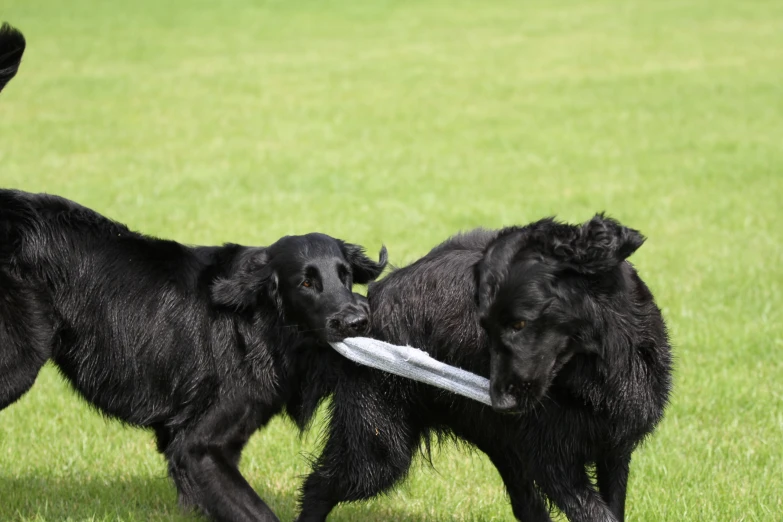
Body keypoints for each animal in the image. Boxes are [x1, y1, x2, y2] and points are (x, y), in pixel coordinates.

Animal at [0, 188, 386, 520]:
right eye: (306, 283)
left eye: (345, 276)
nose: (358, 320)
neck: (260, 323)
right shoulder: (197, 447)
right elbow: (258, 513)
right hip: (18, 362)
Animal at [298, 214, 672, 520]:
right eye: (485, 327)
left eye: (520, 324)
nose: (500, 403)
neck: (594, 368)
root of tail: (363, 304)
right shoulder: (554, 461)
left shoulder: (614, 451)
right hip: (378, 448)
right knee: (319, 485)